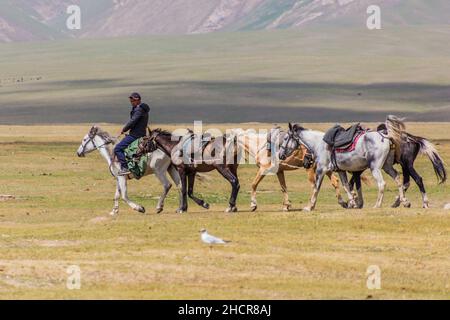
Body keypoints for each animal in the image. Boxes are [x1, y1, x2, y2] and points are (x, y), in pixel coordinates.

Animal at [278, 116, 408, 211]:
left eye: (285, 138)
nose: (280, 155)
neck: (318, 144)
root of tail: (385, 136)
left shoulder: (321, 170)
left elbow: (316, 188)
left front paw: (310, 206)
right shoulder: (341, 170)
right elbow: (346, 186)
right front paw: (352, 203)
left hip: (375, 167)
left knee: (382, 184)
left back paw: (377, 205)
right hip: (387, 166)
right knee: (397, 178)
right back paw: (404, 201)